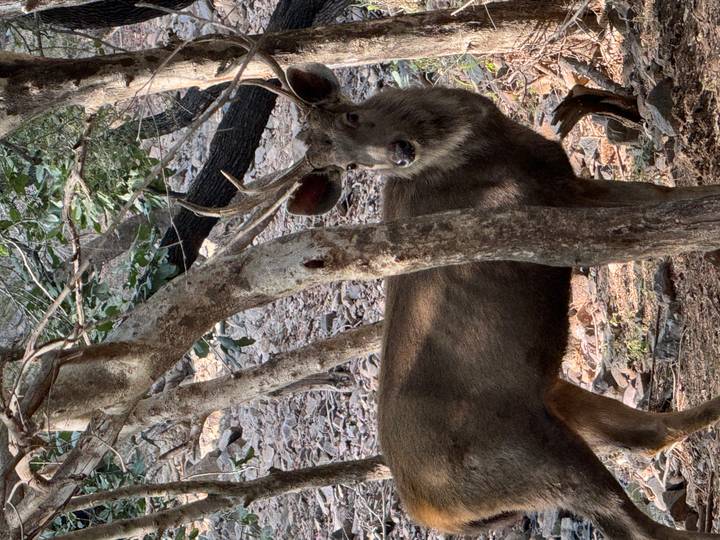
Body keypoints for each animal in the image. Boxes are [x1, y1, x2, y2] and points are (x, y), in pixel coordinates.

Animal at [184, 58, 720, 538]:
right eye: (350, 164)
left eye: (350, 117)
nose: (401, 150)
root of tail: (429, 510)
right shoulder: (551, 210)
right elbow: (664, 208)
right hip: (533, 456)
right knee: (635, 519)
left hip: (552, 405)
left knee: (649, 436)